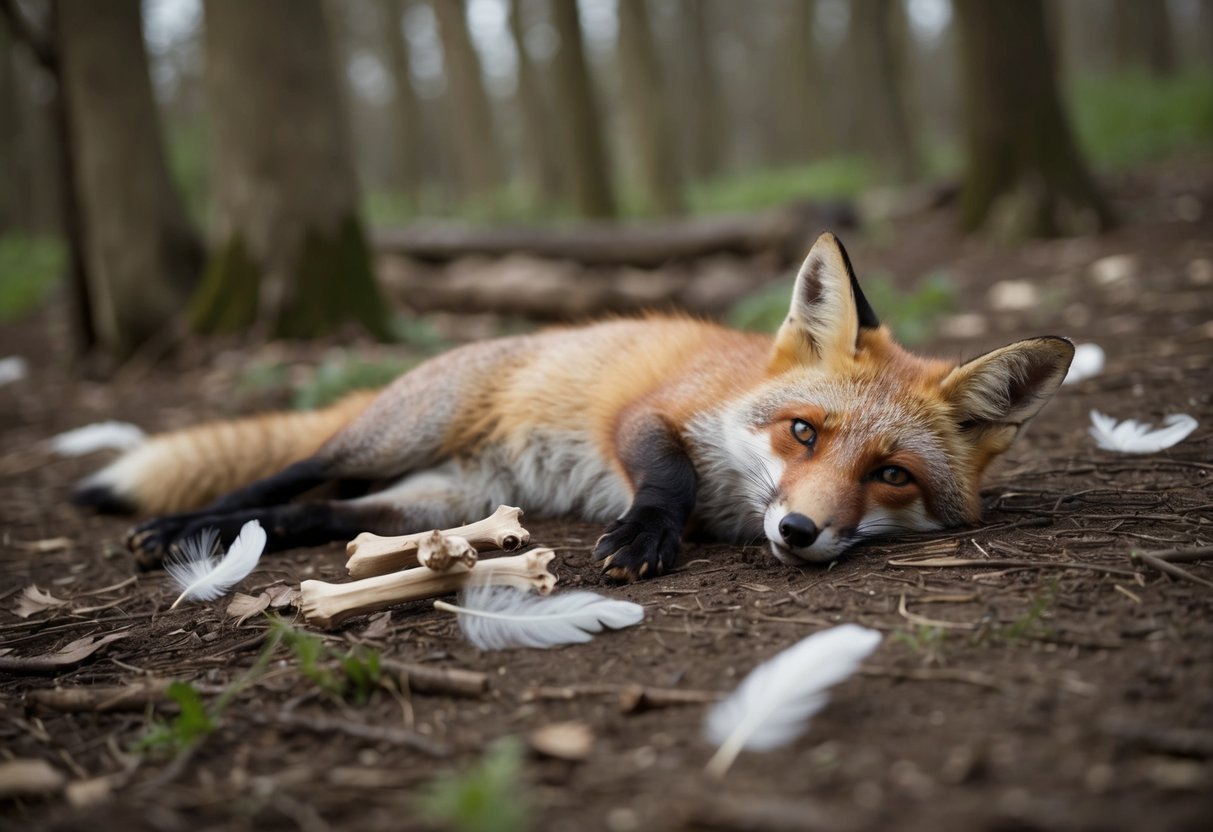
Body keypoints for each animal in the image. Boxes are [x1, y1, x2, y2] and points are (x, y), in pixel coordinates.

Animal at [74, 233, 1075, 581]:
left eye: (891, 475)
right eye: (801, 431)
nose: (798, 532)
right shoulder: (649, 413)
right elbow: (665, 477)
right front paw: (643, 538)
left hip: (439, 499)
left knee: (310, 515)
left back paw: (217, 538)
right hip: (393, 438)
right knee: (288, 473)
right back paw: (179, 529)